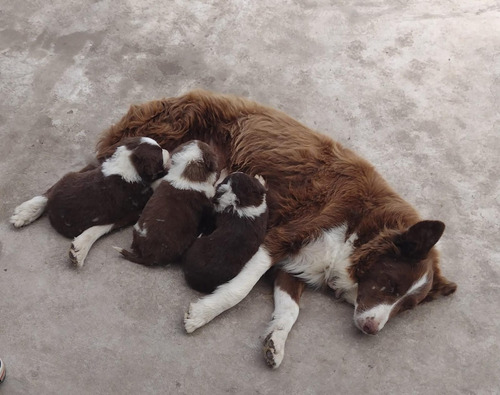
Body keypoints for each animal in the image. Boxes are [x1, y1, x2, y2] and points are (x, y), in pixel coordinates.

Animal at [94, 89, 458, 368]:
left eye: (406, 308)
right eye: (392, 286)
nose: (371, 329)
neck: (360, 232)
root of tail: (179, 96)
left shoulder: (299, 264)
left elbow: (290, 310)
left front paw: (275, 342)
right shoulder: (280, 236)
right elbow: (241, 288)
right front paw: (203, 313)